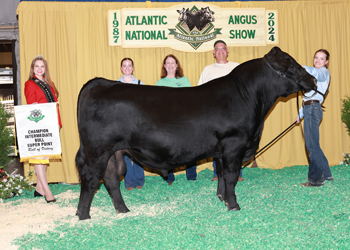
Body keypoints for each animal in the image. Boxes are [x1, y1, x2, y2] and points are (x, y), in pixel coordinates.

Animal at [75, 47, 316, 219]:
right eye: (291, 64)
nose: (313, 80)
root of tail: (99, 83)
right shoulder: (234, 144)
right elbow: (231, 175)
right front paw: (234, 205)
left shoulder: (221, 150)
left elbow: (221, 174)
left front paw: (222, 198)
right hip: (97, 151)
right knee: (90, 178)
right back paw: (83, 215)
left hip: (113, 152)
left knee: (111, 179)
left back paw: (122, 210)